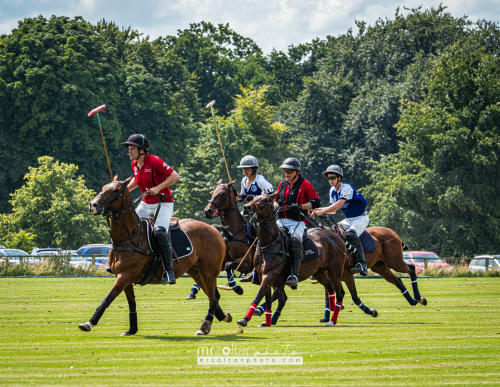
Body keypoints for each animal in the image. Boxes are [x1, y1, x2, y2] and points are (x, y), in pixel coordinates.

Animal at [77, 177, 231, 336]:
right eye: (104, 187)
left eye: (115, 190)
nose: (93, 205)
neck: (129, 236)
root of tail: (214, 228)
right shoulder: (124, 277)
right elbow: (131, 302)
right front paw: (132, 329)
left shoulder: (125, 275)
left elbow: (107, 299)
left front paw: (89, 323)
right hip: (196, 271)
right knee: (214, 296)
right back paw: (223, 316)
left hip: (208, 272)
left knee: (212, 297)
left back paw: (204, 327)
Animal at [236, 194, 346, 328]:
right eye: (253, 198)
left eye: (265, 200)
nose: (246, 208)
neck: (268, 244)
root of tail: (337, 237)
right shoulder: (263, 276)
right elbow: (267, 298)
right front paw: (266, 321)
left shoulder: (269, 275)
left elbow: (259, 296)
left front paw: (245, 319)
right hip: (319, 272)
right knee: (330, 289)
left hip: (335, 272)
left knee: (339, 293)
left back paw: (332, 320)